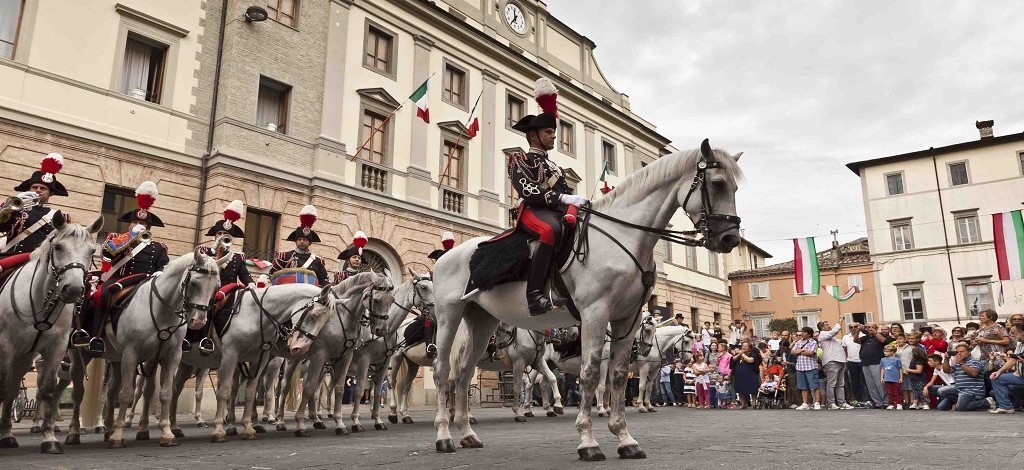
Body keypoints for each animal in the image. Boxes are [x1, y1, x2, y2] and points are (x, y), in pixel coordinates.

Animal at [0, 215, 102, 454]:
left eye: (92, 250)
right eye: (58, 247)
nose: (73, 289)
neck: (41, 303)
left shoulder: (57, 346)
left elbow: (46, 389)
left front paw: (49, 439)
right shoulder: (6, 345)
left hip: (27, 356)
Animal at [274, 272, 389, 438]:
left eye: (392, 299)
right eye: (376, 300)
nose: (381, 330)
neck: (341, 317)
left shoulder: (345, 357)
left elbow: (338, 388)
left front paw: (340, 423)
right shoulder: (320, 354)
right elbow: (309, 387)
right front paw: (300, 424)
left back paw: (316, 420)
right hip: (292, 360)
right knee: (284, 387)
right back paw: (280, 420)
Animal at [428, 140, 741, 460]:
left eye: (735, 187)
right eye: (717, 183)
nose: (730, 240)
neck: (622, 236)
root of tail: (449, 255)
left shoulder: (627, 317)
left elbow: (618, 375)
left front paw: (625, 438)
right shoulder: (595, 312)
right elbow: (590, 375)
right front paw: (588, 440)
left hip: (482, 319)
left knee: (464, 373)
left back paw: (467, 433)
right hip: (449, 314)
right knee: (443, 371)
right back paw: (444, 435)